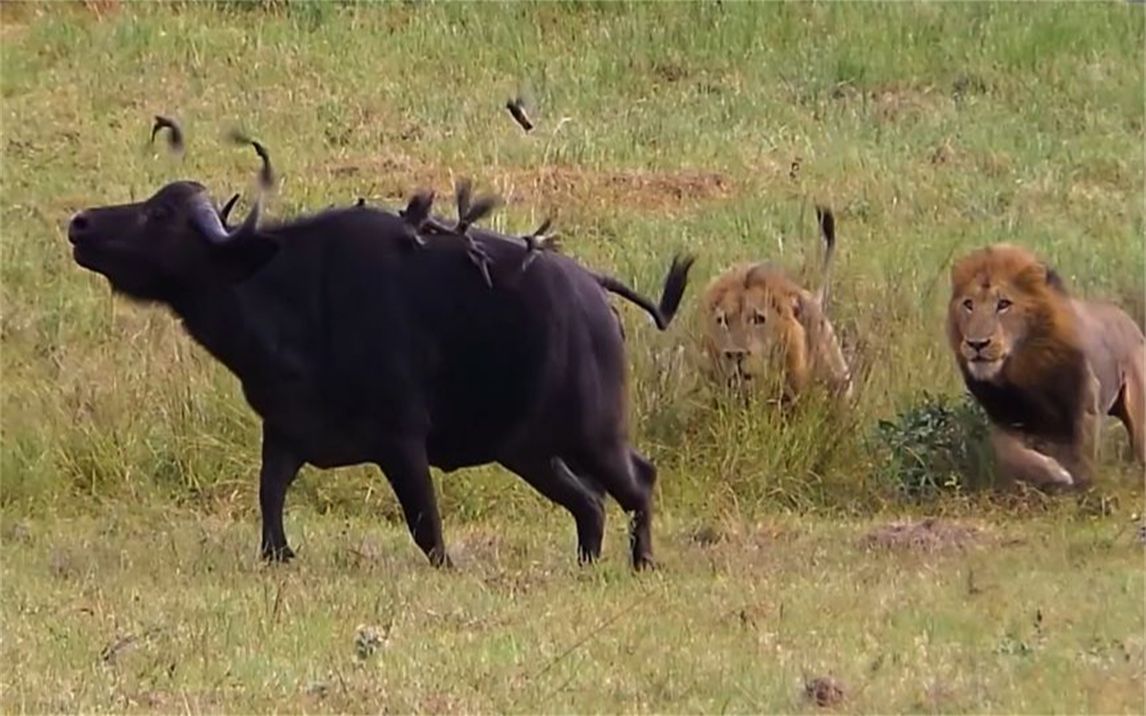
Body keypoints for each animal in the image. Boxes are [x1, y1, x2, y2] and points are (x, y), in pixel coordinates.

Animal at [73, 179, 696, 570]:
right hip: (530, 450)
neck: (292, 295)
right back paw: (587, 563)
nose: (80, 221)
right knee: (589, 503)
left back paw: (642, 561)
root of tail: (593, 290)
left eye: (159, 215)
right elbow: (269, 498)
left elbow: (426, 525)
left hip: (593, 435)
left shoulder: (401, 442)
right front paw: (278, 555)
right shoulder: (285, 432)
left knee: (639, 480)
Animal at [944, 242, 1141, 488]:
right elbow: (1009, 454)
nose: (976, 343)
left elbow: (1083, 458)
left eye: (1003, 304)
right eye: (968, 304)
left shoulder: (1083, 403)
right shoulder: (1006, 416)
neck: (1025, 367)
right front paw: (1054, 474)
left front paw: (1080, 488)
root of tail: (1129, 320)